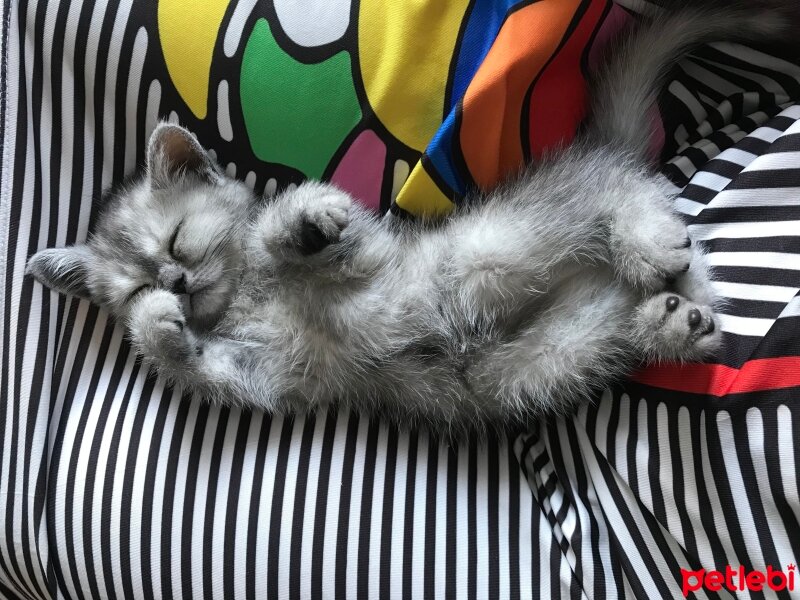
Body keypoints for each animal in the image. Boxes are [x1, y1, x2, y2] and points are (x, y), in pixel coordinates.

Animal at [26, 0, 800, 432]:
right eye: (136, 282)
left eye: (179, 241)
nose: (176, 284)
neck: (247, 296)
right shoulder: (262, 378)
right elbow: (193, 361)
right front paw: (159, 323)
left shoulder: (370, 248)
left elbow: (291, 229)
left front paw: (301, 216)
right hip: (549, 360)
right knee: (664, 285)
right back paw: (674, 321)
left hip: (495, 243)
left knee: (619, 191)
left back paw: (650, 244)